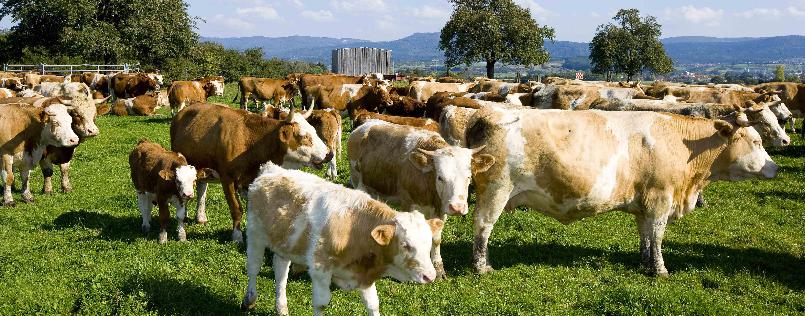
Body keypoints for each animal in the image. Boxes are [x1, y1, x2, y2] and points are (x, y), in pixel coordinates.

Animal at [171, 103, 332, 242]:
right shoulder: (227, 178)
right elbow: (236, 209)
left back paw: (200, 216)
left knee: (202, 188)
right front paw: (237, 236)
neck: (250, 140)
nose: (329, 154)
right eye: (304, 136)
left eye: (314, 131)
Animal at [242, 163, 442, 316]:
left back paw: (281, 307)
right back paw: (249, 299)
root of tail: (271, 169)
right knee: (253, 268)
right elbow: (321, 303)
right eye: (405, 245)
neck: (355, 229)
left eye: (428, 244)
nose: (430, 276)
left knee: (280, 272)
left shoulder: (364, 275)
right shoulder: (320, 268)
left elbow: (373, 304)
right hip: (255, 234)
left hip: (284, 244)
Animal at [348, 119, 494, 278]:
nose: (457, 207)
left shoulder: (440, 209)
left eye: (468, 177)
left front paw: (438, 268)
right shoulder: (408, 203)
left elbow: (436, 238)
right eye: (440, 177)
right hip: (358, 183)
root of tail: (365, 125)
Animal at [464, 107, 780, 276]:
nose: (775, 168)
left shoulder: (645, 204)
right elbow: (658, 236)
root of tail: (487, 112)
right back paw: (482, 267)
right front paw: (660, 270)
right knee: (483, 227)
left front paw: (644, 263)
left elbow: (645, 236)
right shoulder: (660, 198)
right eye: (755, 141)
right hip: (496, 189)